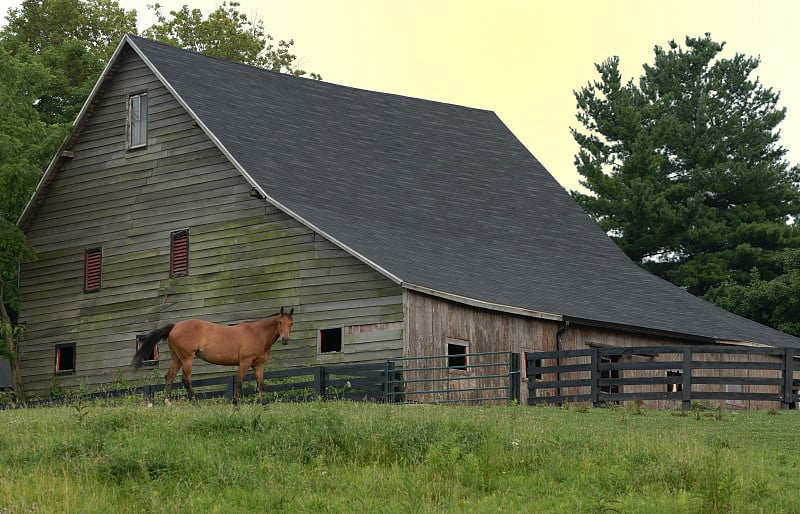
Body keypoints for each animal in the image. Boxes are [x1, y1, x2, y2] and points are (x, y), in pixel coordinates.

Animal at [133, 304, 296, 404]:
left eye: (291, 323)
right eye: (280, 322)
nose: (286, 339)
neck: (255, 333)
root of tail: (174, 326)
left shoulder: (259, 365)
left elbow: (261, 385)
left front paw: (265, 406)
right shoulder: (244, 362)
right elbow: (239, 383)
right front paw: (235, 405)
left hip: (177, 358)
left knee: (170, 377)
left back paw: (168, 403)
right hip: (187, 358)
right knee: (186, 379)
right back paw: (195, 404)